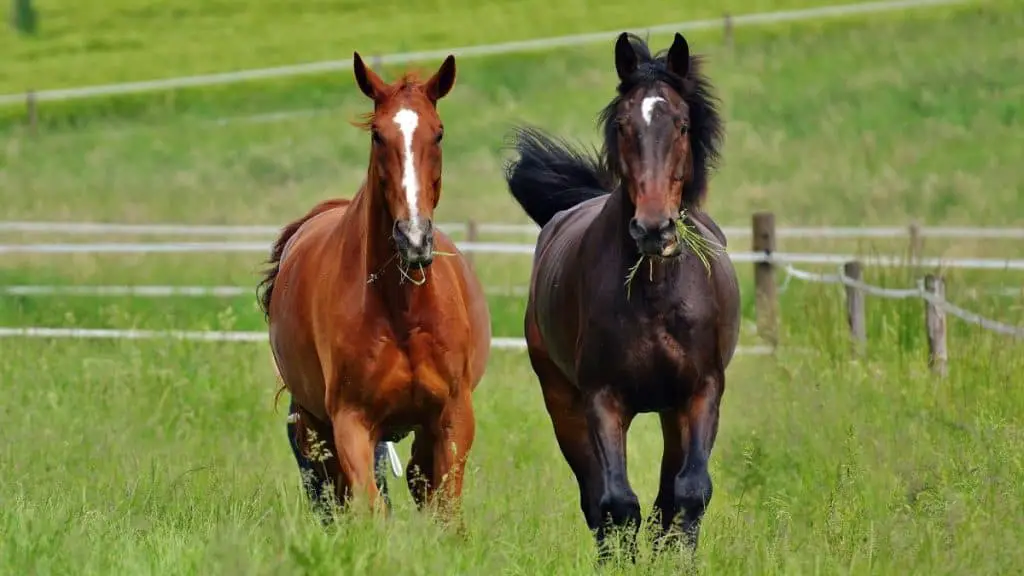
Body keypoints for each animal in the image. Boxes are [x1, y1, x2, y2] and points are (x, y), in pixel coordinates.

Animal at [260, 52, 491, 520]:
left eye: (438, 132)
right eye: (378, 136)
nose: (414, 237)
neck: (401, 309)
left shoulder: (453, 417)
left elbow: (445, 510)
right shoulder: (351, 421)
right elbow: (371, 508)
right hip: (316, 426)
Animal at [501, 31, 737, 557]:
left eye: (682, 124)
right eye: (624, 125)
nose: (653, 228)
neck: (655, 294)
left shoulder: (701, 391)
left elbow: (689, 493)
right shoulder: (602, 399)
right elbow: (616, 503)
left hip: (671, 410)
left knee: (668, 495)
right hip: (563, 403)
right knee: (597, 501)